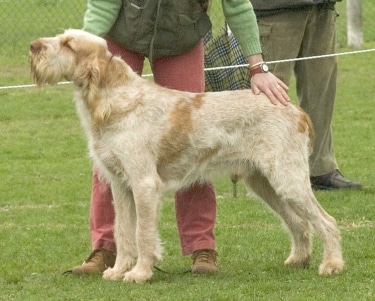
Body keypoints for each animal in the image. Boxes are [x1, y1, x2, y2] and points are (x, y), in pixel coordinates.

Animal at [30, 29, 344, 282]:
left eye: (69, 44)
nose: (33, 46)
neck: (117, 101)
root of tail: (295, 109)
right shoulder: (120, 185)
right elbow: (123, 231)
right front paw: (118, 270)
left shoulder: (144, 184)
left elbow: (142, 233)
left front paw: (140, 273)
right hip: (263, 184)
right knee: (300, 222)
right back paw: (299, 259)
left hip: (287, 180)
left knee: (326, 221)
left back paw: (332, 265)